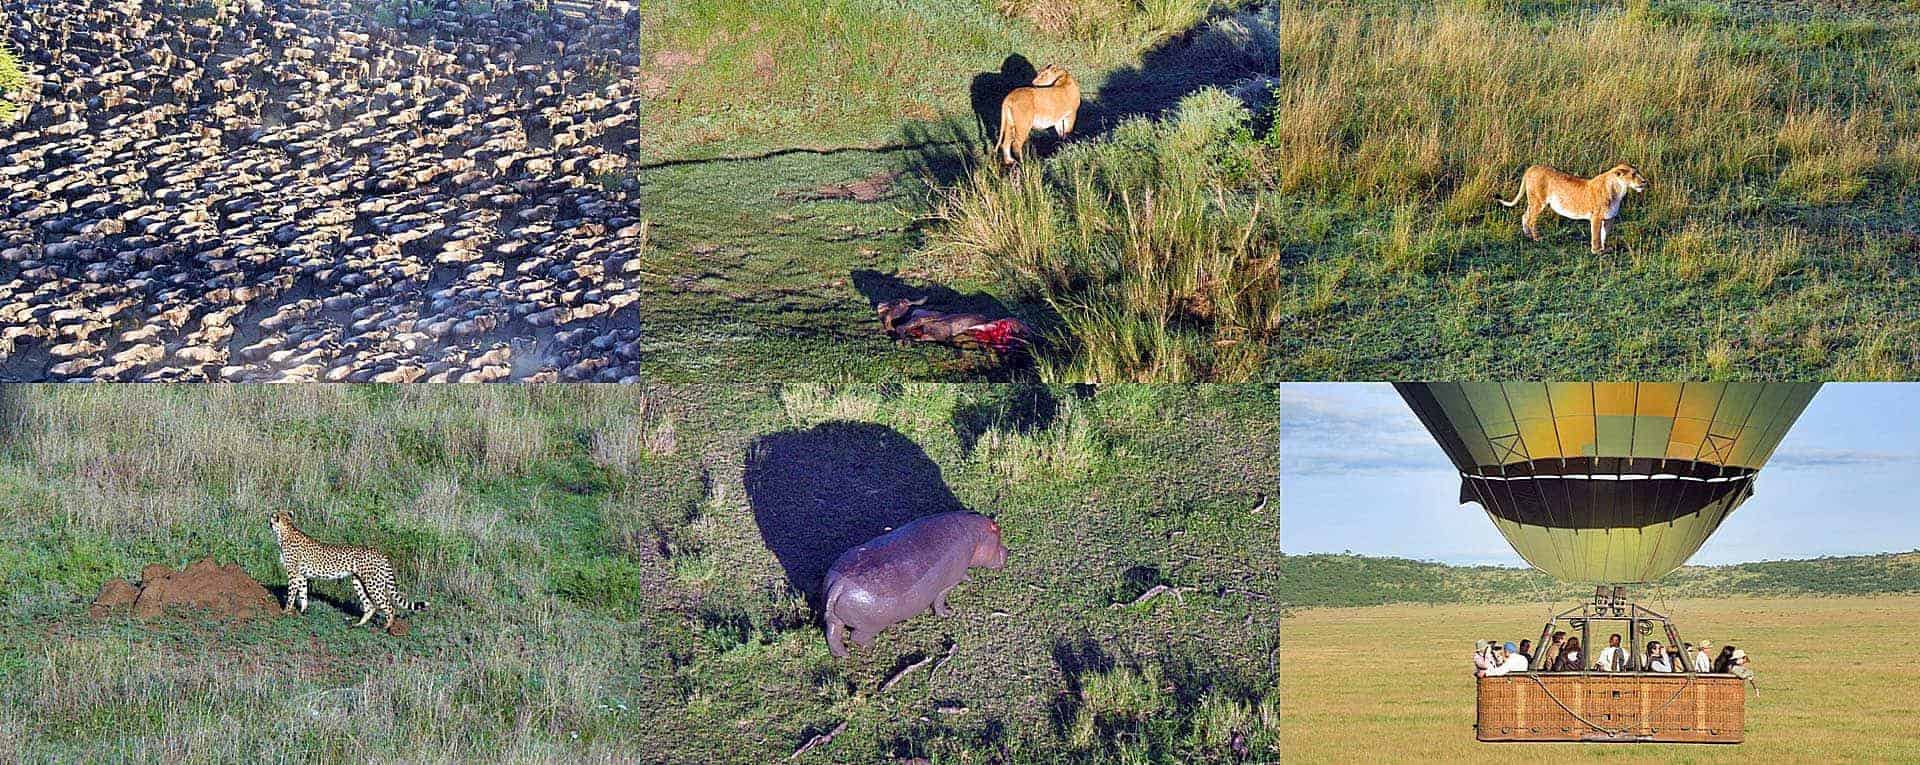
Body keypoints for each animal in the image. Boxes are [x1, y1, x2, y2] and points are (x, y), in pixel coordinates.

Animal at [270, 511, 428, 630]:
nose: (268, 522)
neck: (286, 530)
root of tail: (380, 552)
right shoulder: (301, 575)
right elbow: (303, 594)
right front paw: (302, 611)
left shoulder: (293, 574)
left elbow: (292, 594)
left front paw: (285, 611)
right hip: (357, 581)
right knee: (370, 605)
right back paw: (358, 624)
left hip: (373, 584)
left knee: (388, 606)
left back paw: (387, 627)